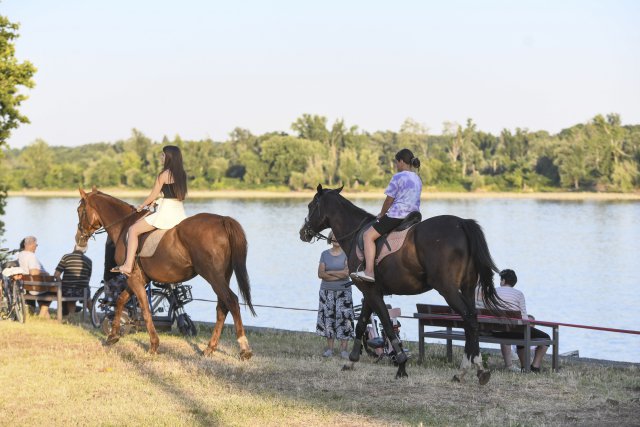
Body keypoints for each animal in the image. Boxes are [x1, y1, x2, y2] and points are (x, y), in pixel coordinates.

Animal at [75, 187, 255, 359]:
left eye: (80, 210)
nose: (79, 238)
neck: (124, 226)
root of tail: (222, 219)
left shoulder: (133, 278)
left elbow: (145, 310)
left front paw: (154, 345)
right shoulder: (138, 279)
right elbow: (120, 301)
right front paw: (113, 336)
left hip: (213, 276)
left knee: (231, 301)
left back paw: (244, 348)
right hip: (222, 277)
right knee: (222, 307)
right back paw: (209, 348)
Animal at [299, 185, 504, 384]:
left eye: (310, 206)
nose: (303, 233)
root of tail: (461, 223)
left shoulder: (371, 293)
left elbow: (388, 326)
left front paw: (401, 366)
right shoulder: (370, 292)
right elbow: (361, 324)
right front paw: (351, 361)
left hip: (448, 290)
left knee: (469, 320)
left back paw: (469, 370)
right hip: (468, 288)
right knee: (473, 320)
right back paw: (473, 370)